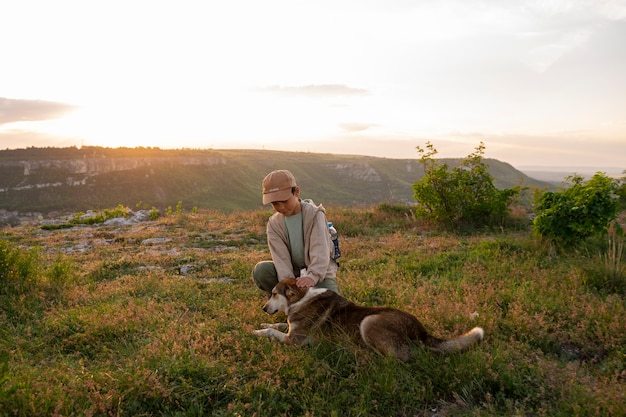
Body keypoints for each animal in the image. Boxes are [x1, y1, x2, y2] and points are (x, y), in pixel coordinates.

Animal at [252, 276, 482, 360]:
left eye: (274, 294)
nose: (263, 308)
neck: (300, 298)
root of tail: (421, 331)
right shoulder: (290, 328)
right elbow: (278, 323)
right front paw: (263, 322)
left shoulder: (294, 340)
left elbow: (272, 331)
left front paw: (256, 331)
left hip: (368, 321)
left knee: (396, 358)